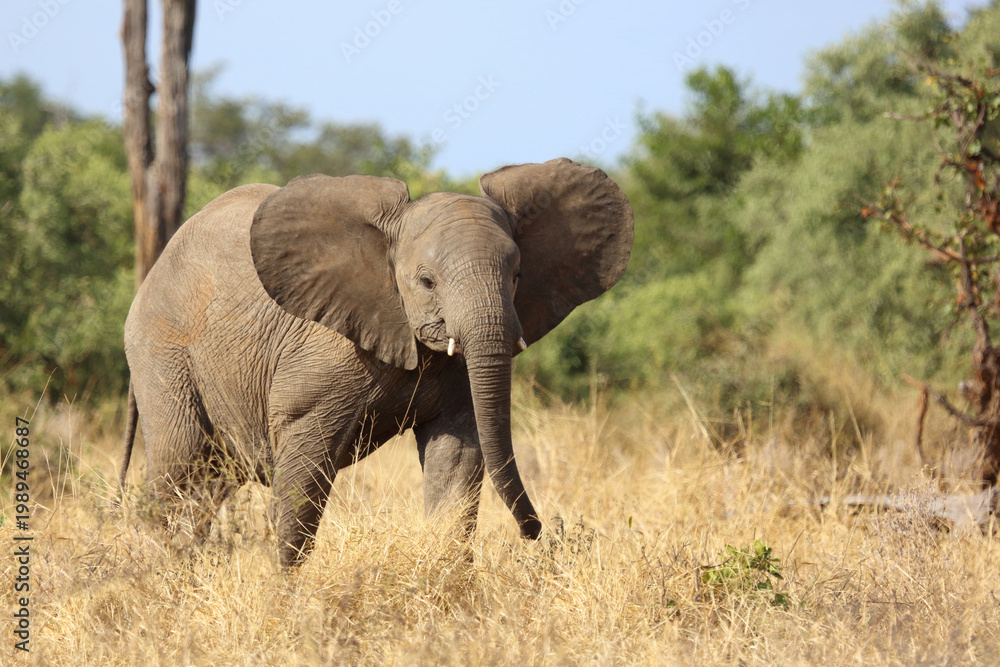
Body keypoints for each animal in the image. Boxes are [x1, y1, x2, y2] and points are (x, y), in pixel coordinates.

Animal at [119, 157, 633, 566]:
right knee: (177, 470)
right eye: (426, 281)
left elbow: (458, 464)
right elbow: (301, 482)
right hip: (162, 350)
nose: (537, 532)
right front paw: (284, 598)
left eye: (518, 275)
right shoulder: (319, 361)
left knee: (209, 486)